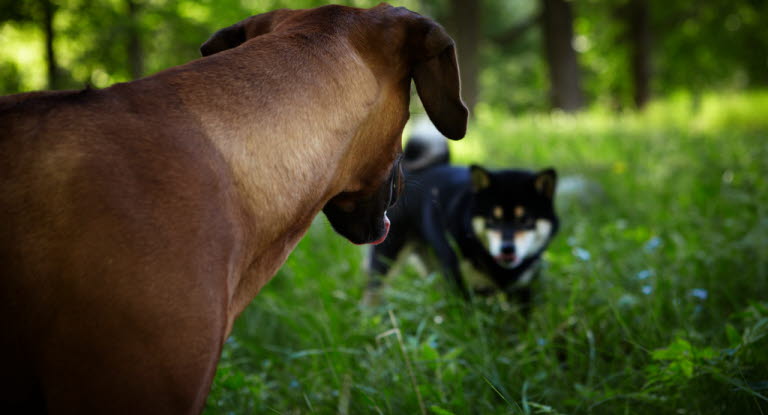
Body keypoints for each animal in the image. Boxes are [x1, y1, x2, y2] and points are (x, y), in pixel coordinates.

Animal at [366, 127, 560, 308]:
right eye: (492, 219)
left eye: (525, 220)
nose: (507, 248)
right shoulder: (459, 283)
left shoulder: (522, 290)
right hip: (389, 255)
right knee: (375, 289)